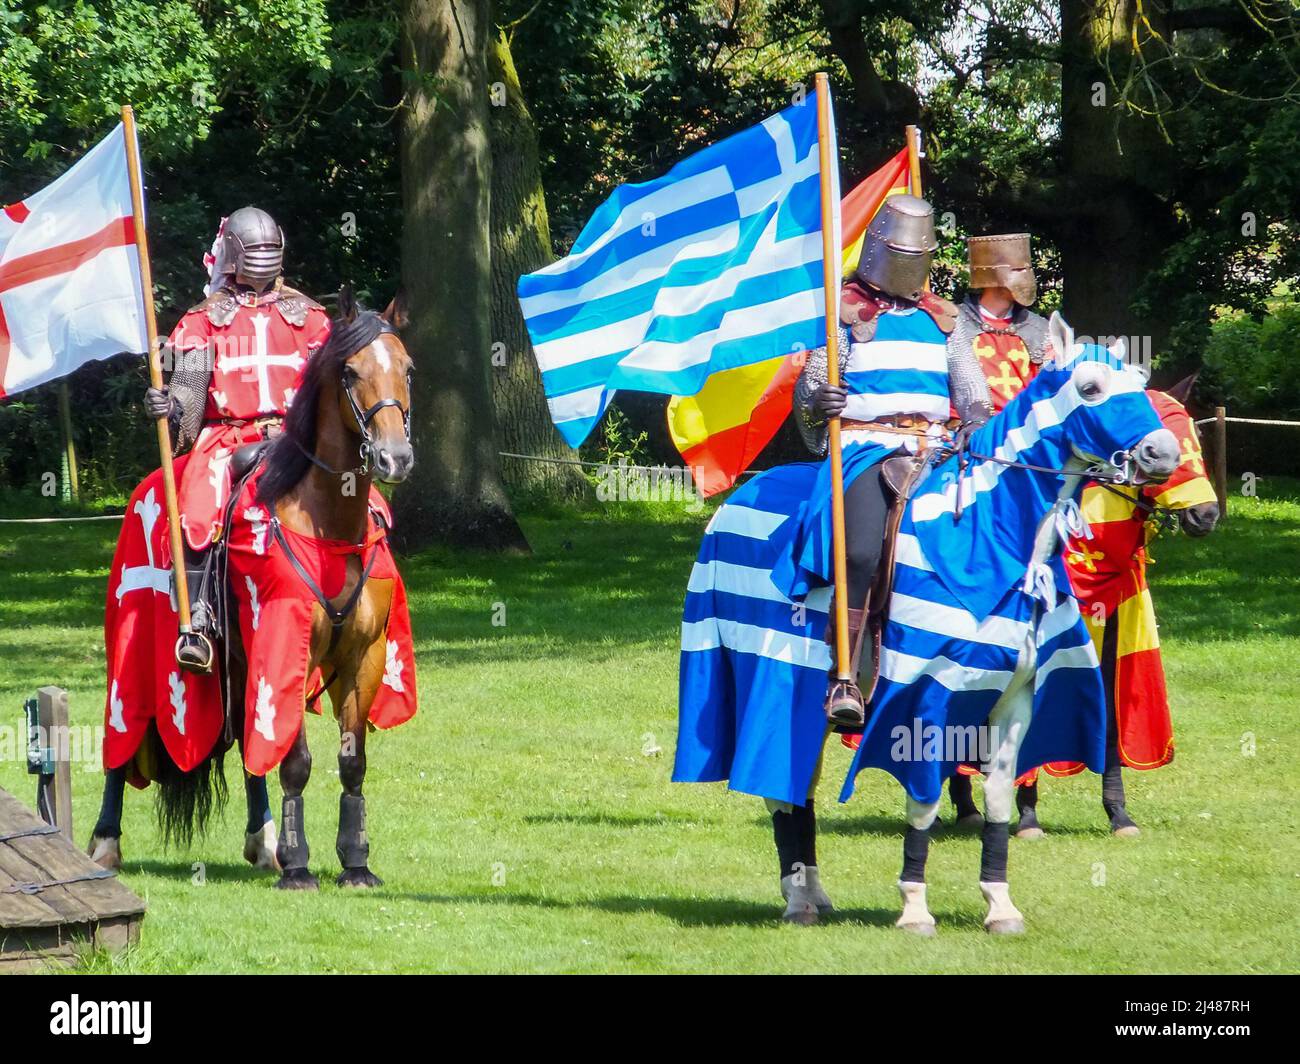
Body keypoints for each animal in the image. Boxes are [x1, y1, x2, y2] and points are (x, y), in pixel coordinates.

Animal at [89, 290, 413, 889]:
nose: (394, 458)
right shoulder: (284, 646)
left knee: (246, 743)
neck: (328, 525)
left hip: (238, 667)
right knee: (120, 740)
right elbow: (296, 759)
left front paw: (355, 862)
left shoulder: (365, 656)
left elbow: (350, 761)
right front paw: (301, 867)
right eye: (351, 371)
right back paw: (104, 844)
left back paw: (263, 841)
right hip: (132, 654)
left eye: (407, 369)